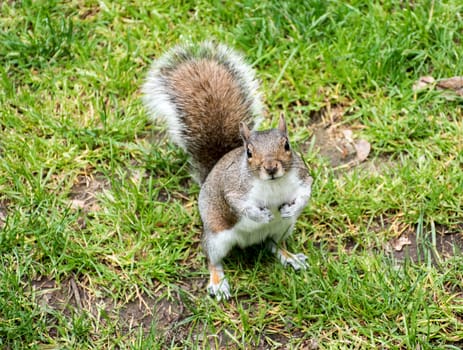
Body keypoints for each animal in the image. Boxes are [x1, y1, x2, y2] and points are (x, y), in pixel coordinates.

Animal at [143, 41, 314, 300]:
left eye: (286, 145)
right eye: (249, 152)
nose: (271, 167)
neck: (273, 183)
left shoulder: (302, 175)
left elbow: (306, 191)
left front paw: (293, 207)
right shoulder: (234, 186)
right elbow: (236, 202)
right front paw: (258, 215)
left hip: (284, 228)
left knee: (275, 244)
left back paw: (290, 257)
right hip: (216, 237)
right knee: (212, 258)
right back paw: (217, 282)